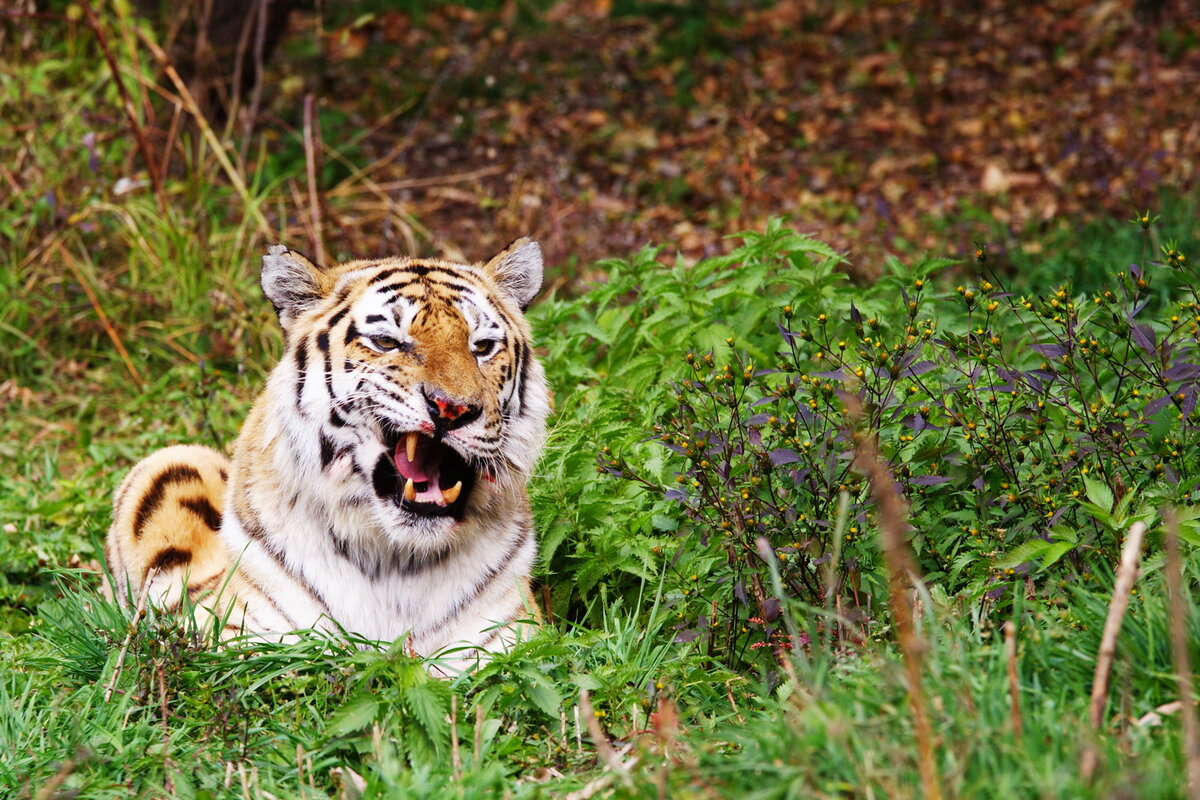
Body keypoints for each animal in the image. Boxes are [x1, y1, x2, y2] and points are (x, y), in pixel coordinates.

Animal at [105, 239, 549, 671]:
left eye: (482, 347)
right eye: (387, 342)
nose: (452, 408)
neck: (397, 557)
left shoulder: (514, 642)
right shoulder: (237, 636)